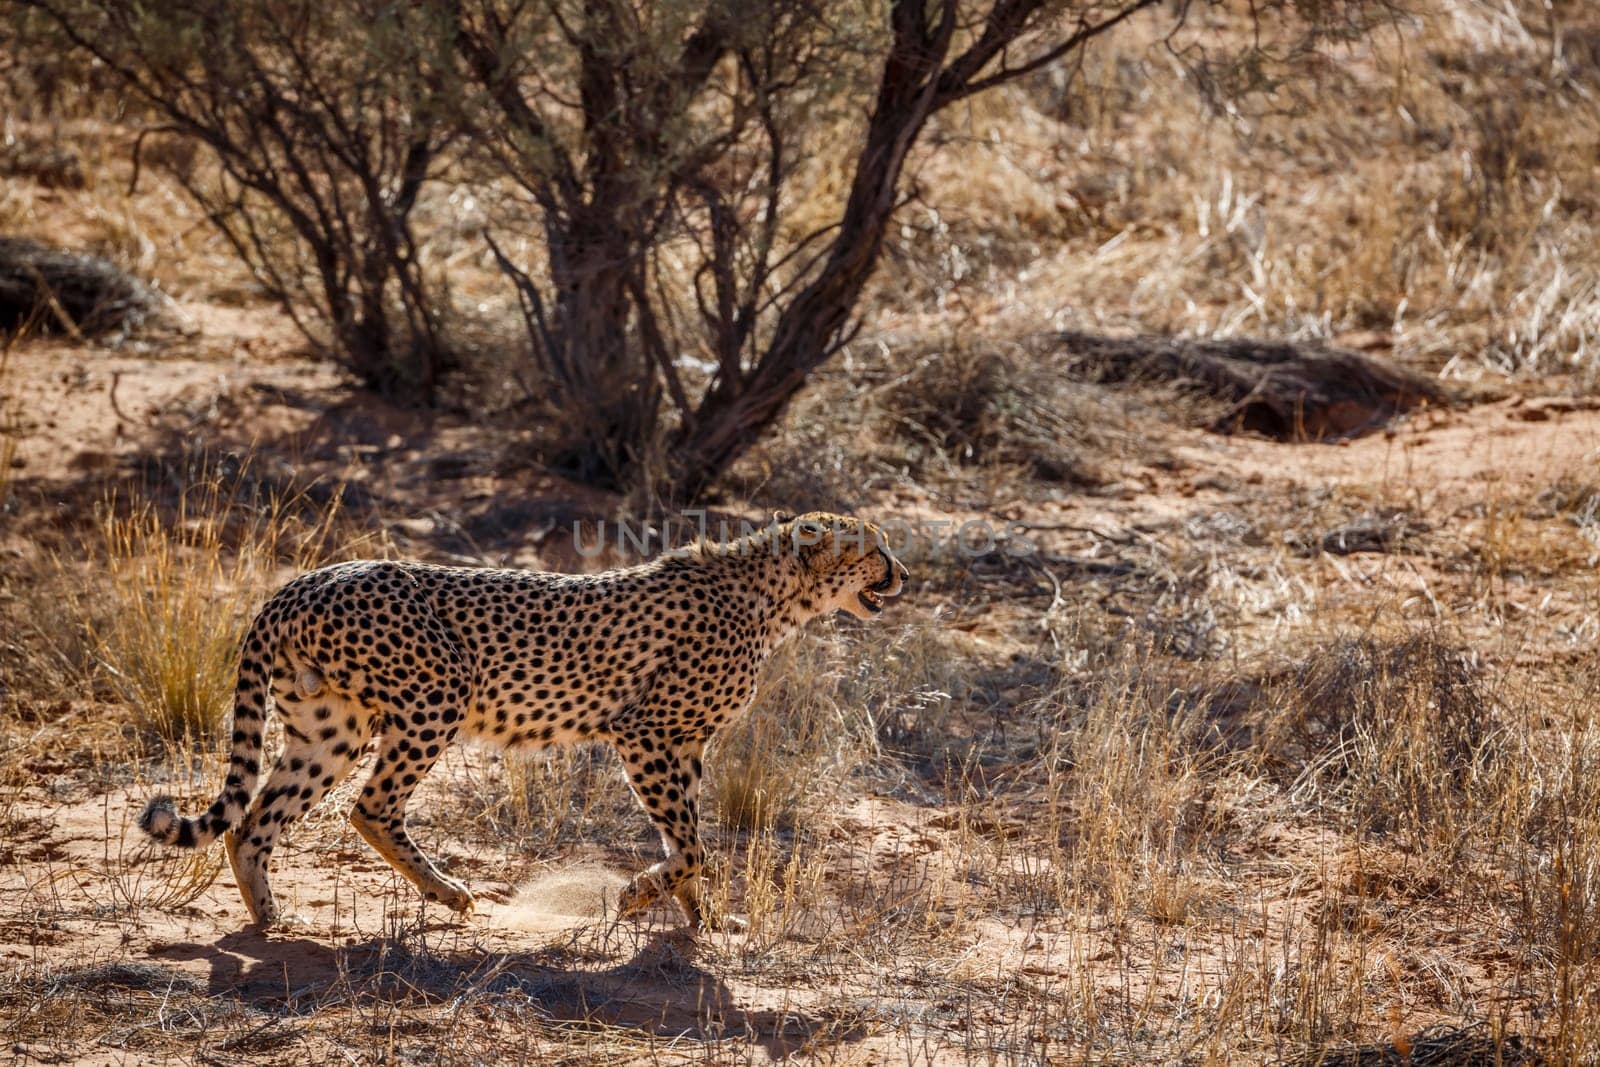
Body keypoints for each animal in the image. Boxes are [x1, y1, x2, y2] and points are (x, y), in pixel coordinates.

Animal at [140, 511, 902, 927]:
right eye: (875, 550)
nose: (903, 575)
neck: (777, 597)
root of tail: (308, 576)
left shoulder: (684, 745)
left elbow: (690, 840)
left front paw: (699, 917)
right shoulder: (647, 733)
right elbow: (690, 845)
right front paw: (638, 897)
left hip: (331, 725)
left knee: (254, 821)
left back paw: (270, 918)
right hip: (438, 691)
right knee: (371, 806)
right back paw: (448, 892)